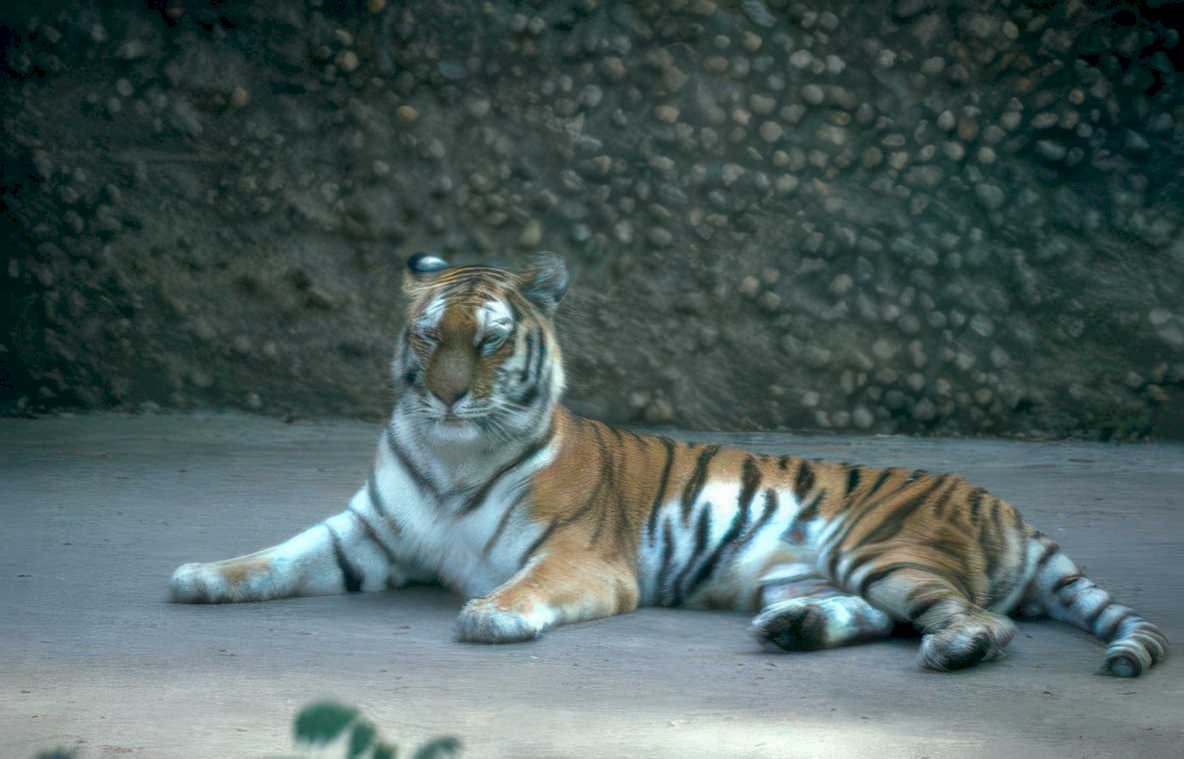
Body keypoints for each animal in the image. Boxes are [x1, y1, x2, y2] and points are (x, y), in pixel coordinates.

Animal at [169, 253, 1168, 677]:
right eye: (427, 335)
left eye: (488, 342)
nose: (448, 396)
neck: (453, 452)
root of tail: (1007, 505)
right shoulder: (367, 534)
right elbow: (276, 556)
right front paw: (202, 574)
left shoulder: (582, 557)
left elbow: (526, 584)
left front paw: (492, 614)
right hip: (821, 571)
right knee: (880, 617)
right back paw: (794, 630)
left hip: (883, 547)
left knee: (982, 623)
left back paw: (952, 650)